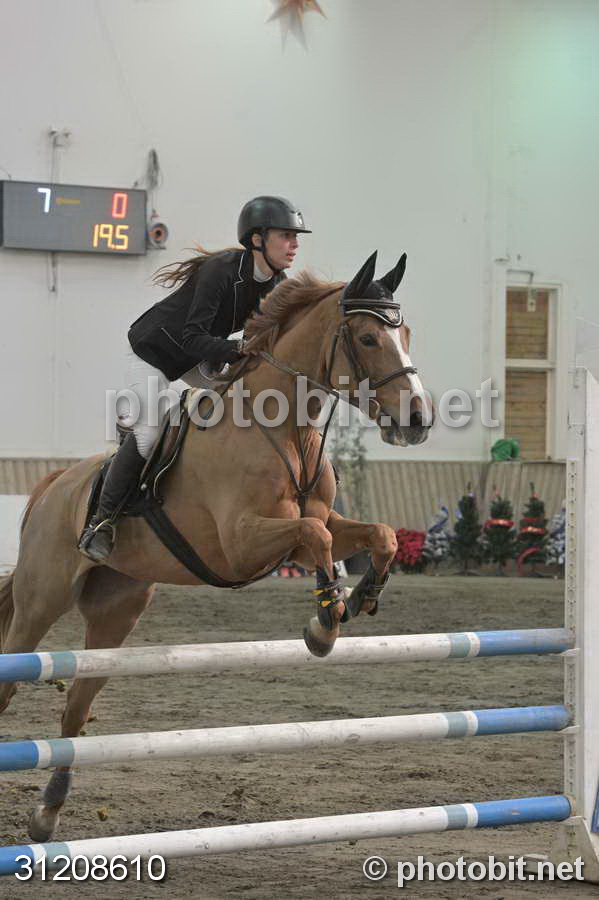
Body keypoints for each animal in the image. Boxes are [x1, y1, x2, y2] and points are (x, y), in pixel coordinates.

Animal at [0, 249, 432, 842]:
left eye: (406, 332)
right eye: (367, 338)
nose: (417, 420)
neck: (283, 428)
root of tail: (54, 484)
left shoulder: (307, 528)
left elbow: (374, 535)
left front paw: (362, 593)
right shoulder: (241, 542)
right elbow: (316, 537)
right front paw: (324, 622)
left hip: (116, 611)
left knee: (76, 709)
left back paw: (47, 813)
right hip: (41, 600)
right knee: (11, 676)